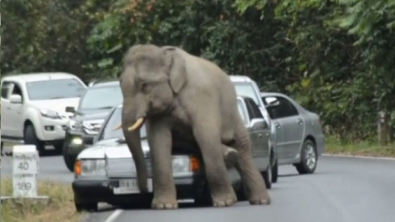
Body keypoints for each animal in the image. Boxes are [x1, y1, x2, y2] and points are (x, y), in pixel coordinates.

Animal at [113, 44, 270, 209]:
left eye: (145, 86)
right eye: (120, 85)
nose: (141, 188)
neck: (166, 55)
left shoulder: (203, 97)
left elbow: (205, 135)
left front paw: (225, 202)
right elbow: (158, 141)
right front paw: (164, 206)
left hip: (232, 113)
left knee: (242, 147)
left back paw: (261, 200)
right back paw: (230, 154)